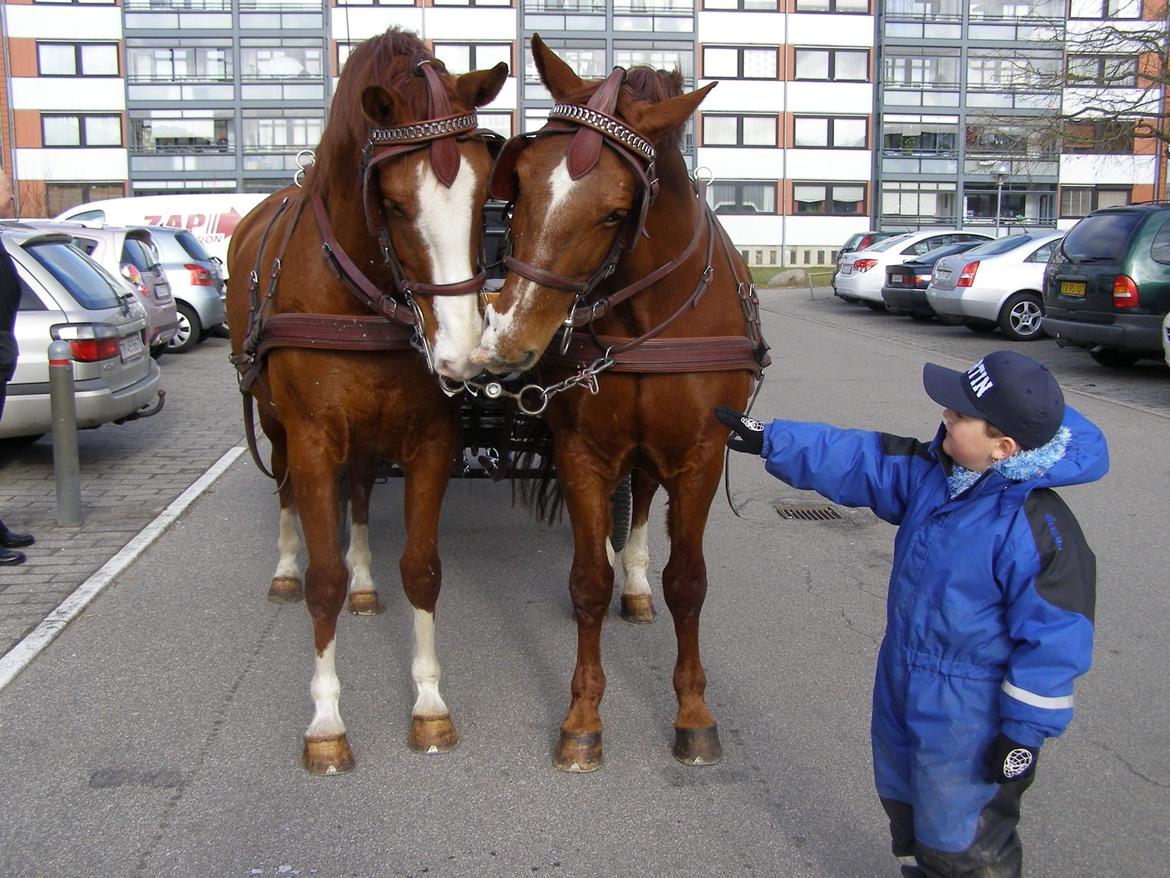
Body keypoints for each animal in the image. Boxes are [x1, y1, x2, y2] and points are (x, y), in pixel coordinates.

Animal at [225, 27, 505, 772]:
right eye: (397, 204)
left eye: (483, 199)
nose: (461, 353)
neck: (359, 293)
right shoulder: (313, 436)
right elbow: (321, 581)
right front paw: (326, 719)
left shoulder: (430, 438)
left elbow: (422, 569)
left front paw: (429, 704)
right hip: (277, 423)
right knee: (286, 491)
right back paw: (285, 568)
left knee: (356, 494)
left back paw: (365, 582)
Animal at [475, 37, 767, 772]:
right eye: (520, 185)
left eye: (615, 211)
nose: (509, 339)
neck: (645, 320)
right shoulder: (581, 451)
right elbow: (585, 582)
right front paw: (582, 717)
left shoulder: (699, 455)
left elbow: (687, 582)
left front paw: (693, 714)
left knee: (641, 499)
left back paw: (635, 584)